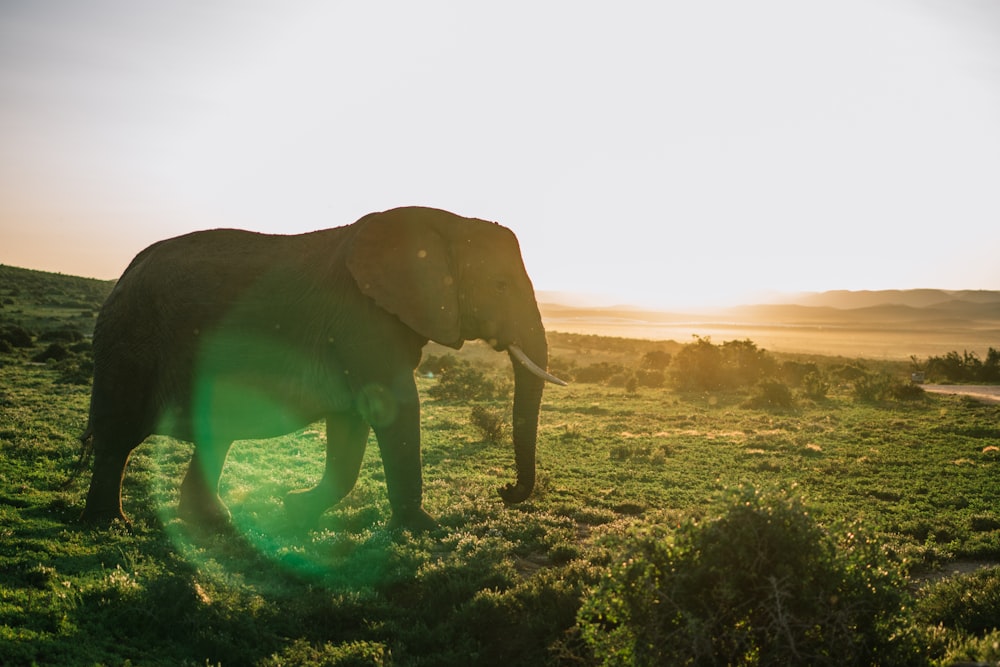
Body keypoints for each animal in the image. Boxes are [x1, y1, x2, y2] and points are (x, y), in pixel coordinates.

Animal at [78, 206, 564, 528]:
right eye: (500, 285)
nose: (505, 492)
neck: (442, 223)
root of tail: (126, 272)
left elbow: (352, 424)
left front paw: (293, 506)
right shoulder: (360, 320)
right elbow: (397, 409)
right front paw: (426, 529)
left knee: (216, 434)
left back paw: (215, 522)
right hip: (131, 340)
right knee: (119, 437)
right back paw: (111, 525)